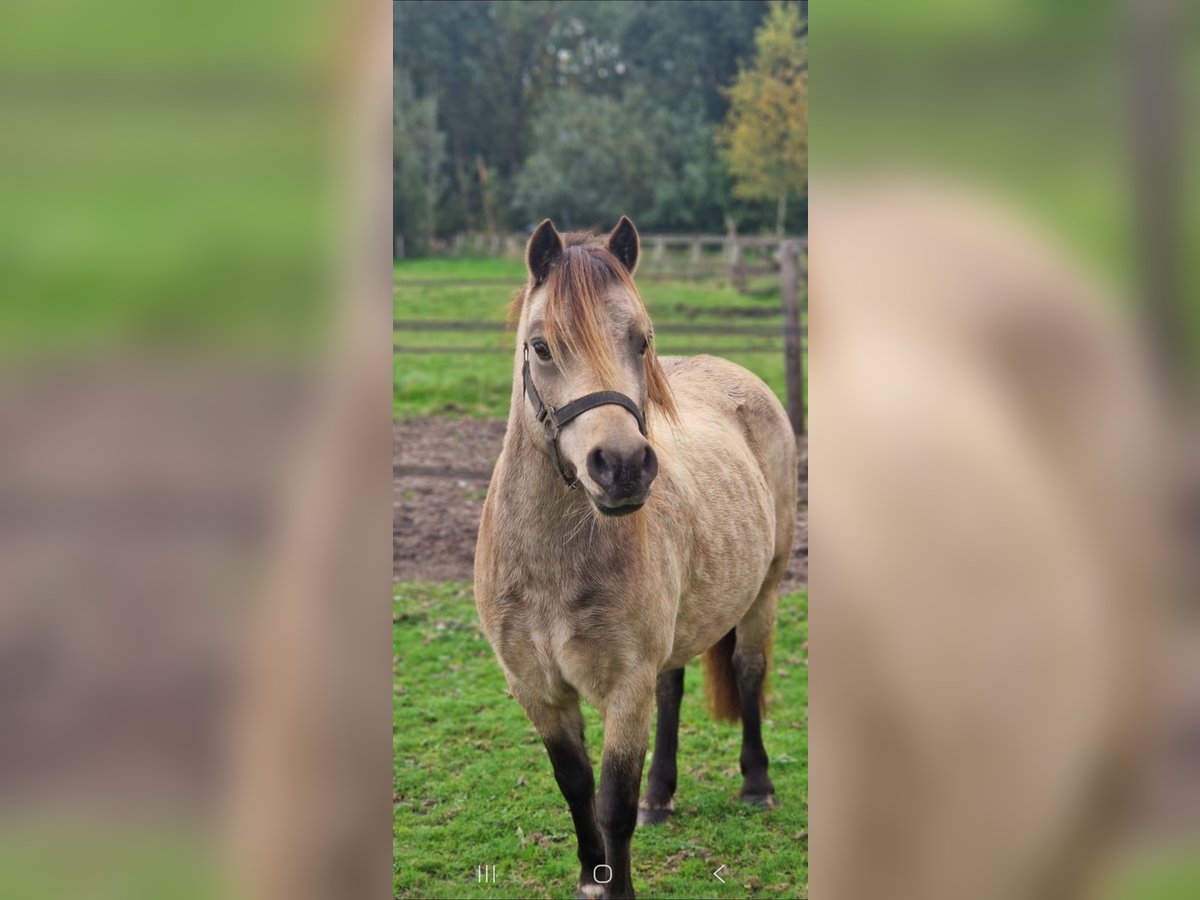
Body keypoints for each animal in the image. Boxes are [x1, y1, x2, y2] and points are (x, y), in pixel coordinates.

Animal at [474, 216, 797, 900]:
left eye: (640, 340)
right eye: (541, 347)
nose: (621, 465)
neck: (551, 566)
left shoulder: (625, 690)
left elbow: (612, 805)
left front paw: (614, 882)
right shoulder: (538, 692)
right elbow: (576, 790)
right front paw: (589, 878)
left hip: (766, 588)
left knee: (749, 671)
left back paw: (756, 785)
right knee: (672, 688)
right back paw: (661, 796)